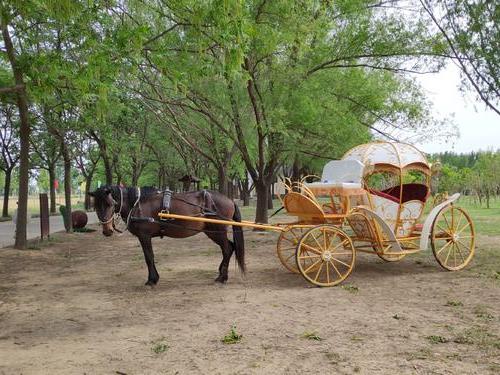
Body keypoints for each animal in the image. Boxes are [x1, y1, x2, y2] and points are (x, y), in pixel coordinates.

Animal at [91, 187, 247, 286]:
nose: (107, 230)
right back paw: (221, 273)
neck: (137, 205)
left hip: (217, 231)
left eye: (111, 203)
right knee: (230, 248)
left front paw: (152, 280)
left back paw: (222, 277)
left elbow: (149, 257)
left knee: (227, 249)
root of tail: (230, 200)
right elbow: (150, 257)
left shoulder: (144, 236)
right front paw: (154, 278)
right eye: (96, 206)